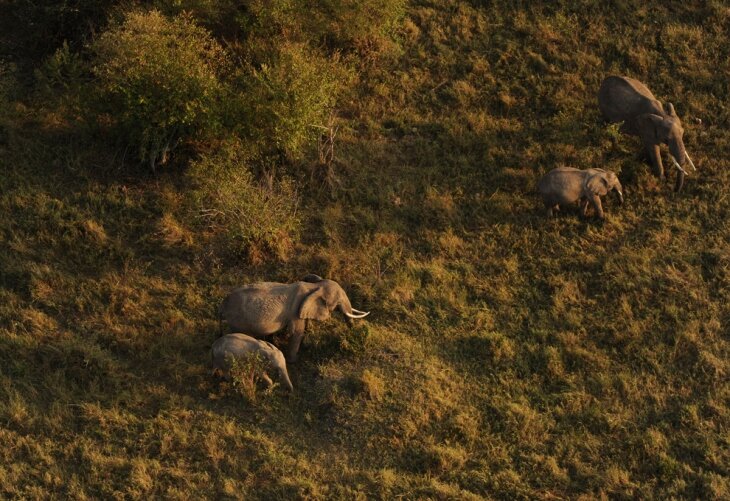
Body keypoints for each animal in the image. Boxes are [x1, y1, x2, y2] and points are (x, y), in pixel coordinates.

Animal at [215, 276, 364, 362]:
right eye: (338, 301)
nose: (353, 334)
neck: (314, 286)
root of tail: (222, 306)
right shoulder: (295, 311)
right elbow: (297, 333)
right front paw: (295, 360)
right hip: (237, 321)